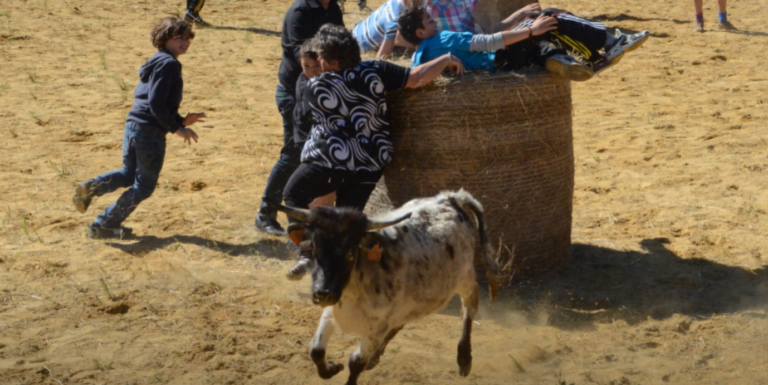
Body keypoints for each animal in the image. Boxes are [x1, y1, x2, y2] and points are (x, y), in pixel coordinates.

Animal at [266, 189, 504, 384]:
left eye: (351, 252)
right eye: (314, 247)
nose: (322, 294)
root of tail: (451, 198)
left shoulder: (376, 328)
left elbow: (355, 362)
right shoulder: (333, 310)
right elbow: (316, 350)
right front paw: (333, 368)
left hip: (465, 276)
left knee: (470, 303)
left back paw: (464, 358)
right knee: (402, 321)